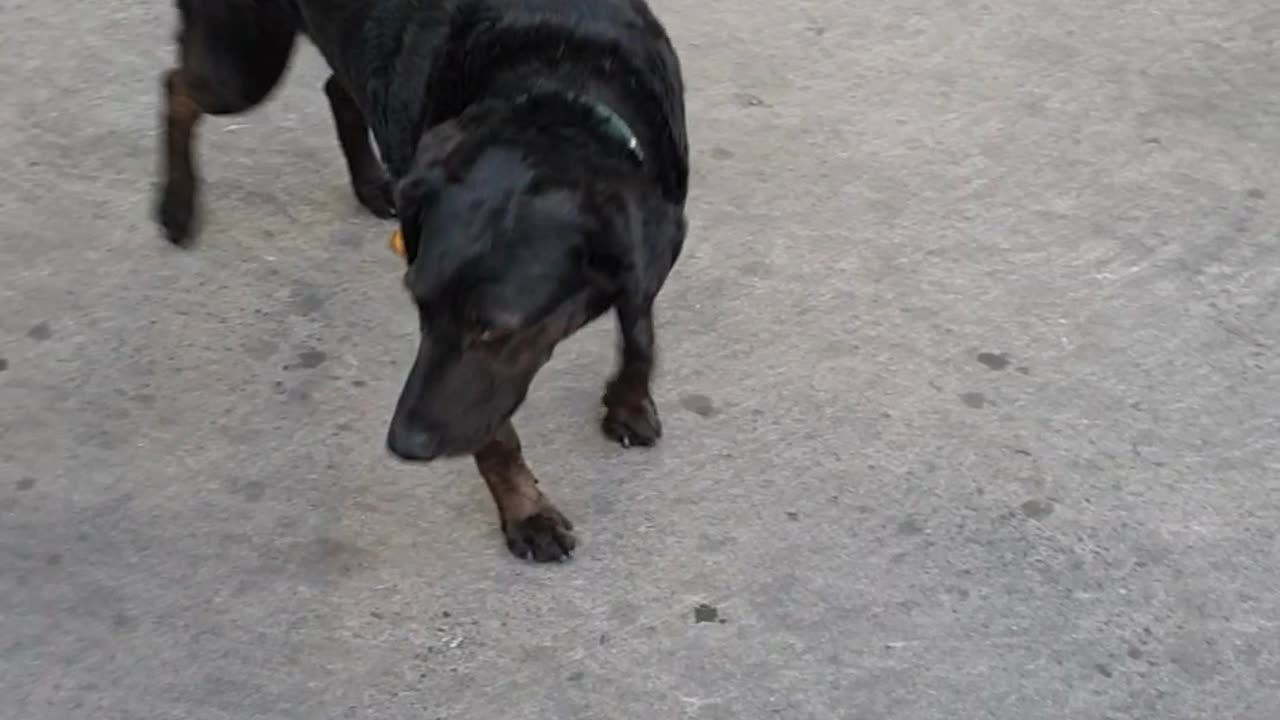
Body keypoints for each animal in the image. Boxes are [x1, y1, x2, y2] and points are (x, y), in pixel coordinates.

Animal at [160, 0, 691, 561]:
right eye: (419, 304)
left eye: (496, 330)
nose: (405, 445)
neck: (560, 85)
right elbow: (496, 437)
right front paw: (525, 511)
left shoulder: (649, 246)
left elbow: (640, 332)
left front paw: (629, 402)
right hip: (244, 66)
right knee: (176, 85)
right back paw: (176, 207)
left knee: (334, 87)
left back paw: (370, 184)